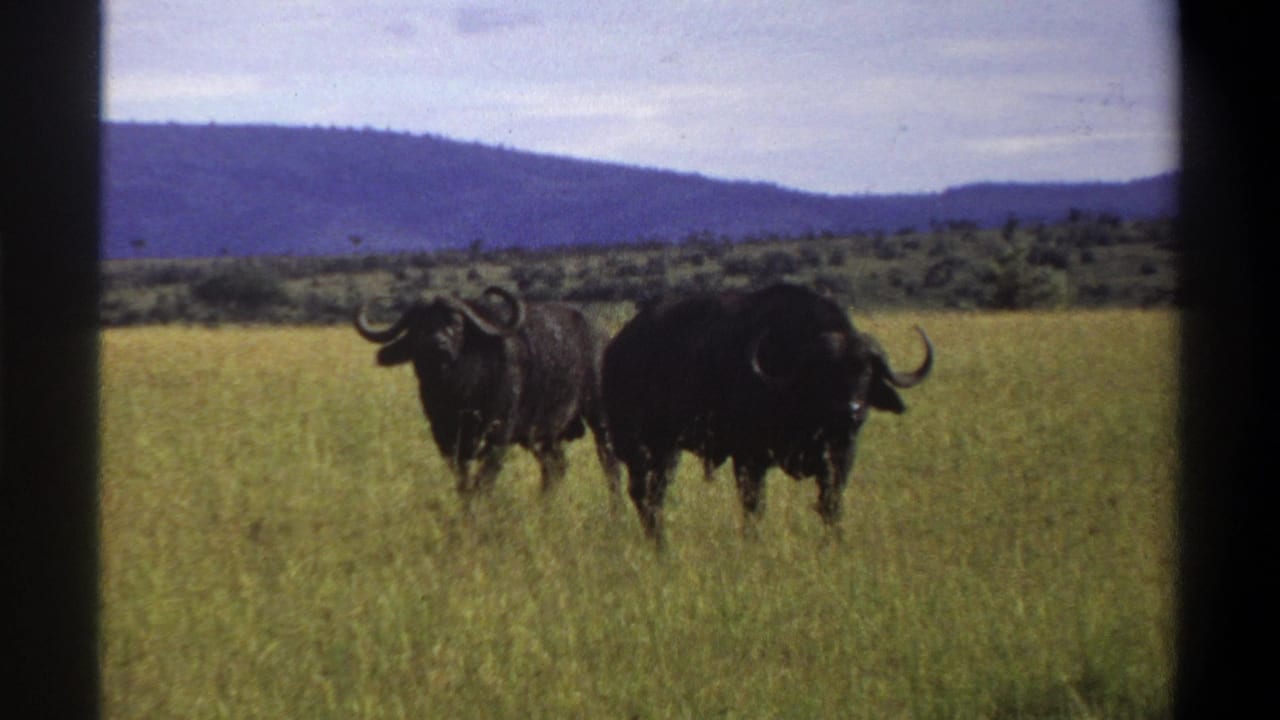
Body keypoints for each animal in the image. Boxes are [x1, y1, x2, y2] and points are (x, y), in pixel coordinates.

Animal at [355, 286, 620, 500]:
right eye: (420, 326)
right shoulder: (446, 439)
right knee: (555, 467)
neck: (458, 393)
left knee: (610, 464)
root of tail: (603, 337)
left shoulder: (498, 437)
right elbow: (463, 483)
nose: (437, 345)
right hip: (543, 435)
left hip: (600, 418)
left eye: (456, 324)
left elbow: (484, 482)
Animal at [602, 283, 932, 544]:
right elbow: (754, 506)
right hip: (643, 446)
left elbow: (831, 504)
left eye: (866, 372)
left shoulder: (840, 456)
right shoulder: (749, 457)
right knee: (643, 493)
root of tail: (618, 348)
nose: (851, 411)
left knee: (653, 494)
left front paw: (836, 542)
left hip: (665, 452)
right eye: (825, 373)